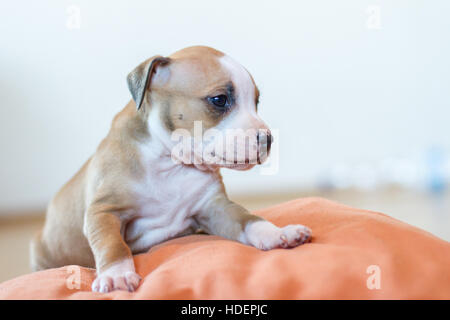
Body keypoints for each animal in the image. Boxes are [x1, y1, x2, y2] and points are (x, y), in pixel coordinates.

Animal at [29, 45, 312, 292]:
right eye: (219, 100)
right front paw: (117, 275)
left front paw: (278, 233)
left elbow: (249, 219)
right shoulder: (103, 211)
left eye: (256, 102)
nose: (268, 139)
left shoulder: (214, 208)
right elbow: (113, 244)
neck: (170, 163)